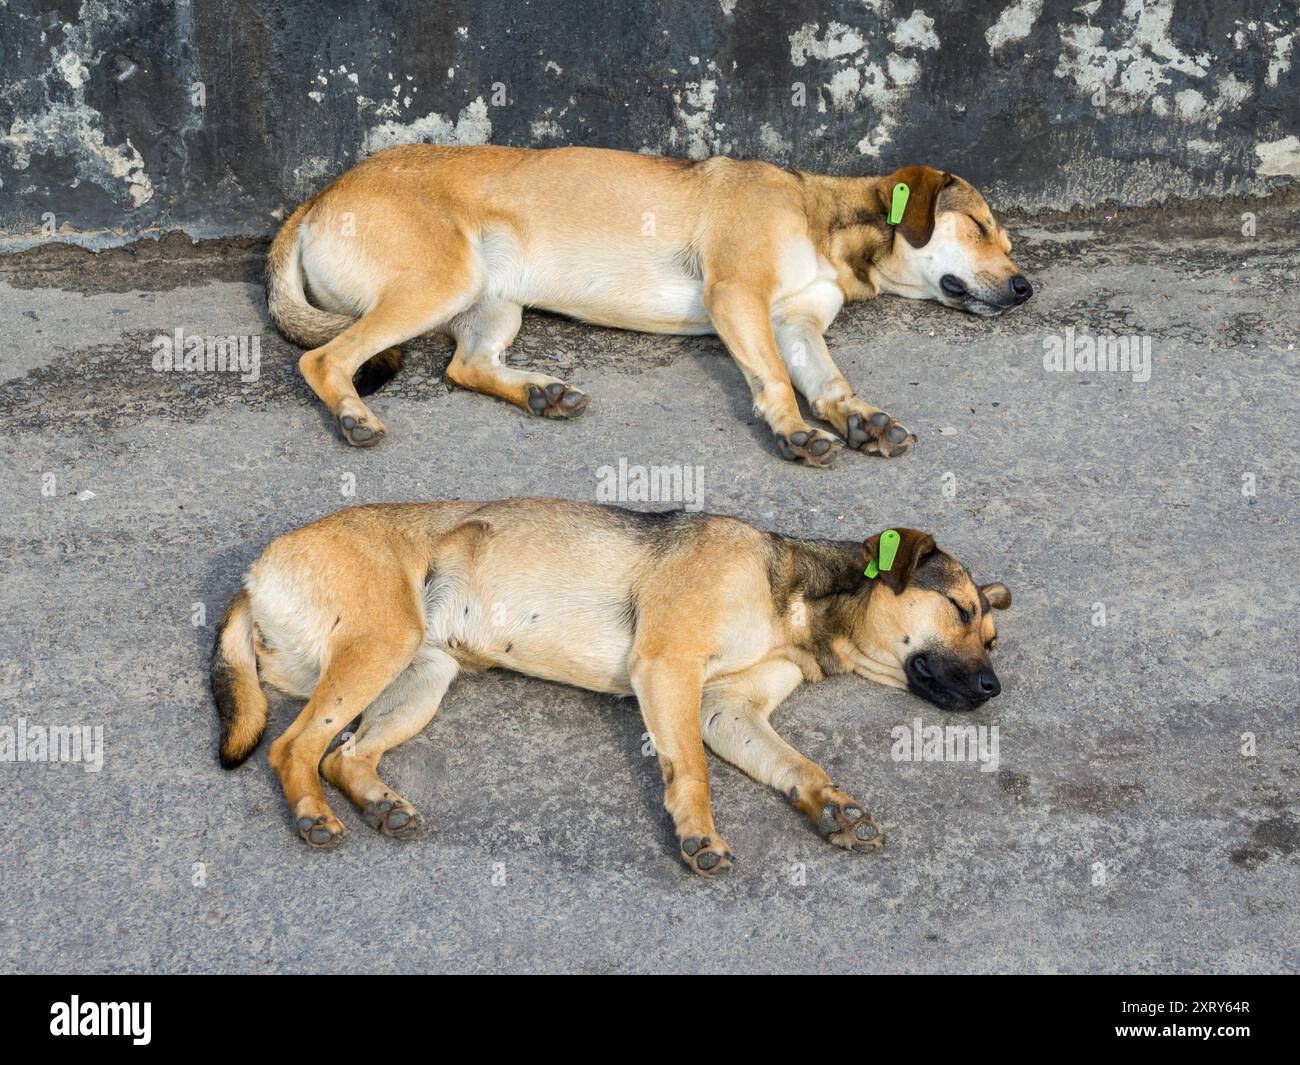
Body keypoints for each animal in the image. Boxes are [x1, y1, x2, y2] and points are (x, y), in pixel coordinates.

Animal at [213, 499, 1008, 873]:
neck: (797, 598)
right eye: (960, 608)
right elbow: (691, 772)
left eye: (991, 635)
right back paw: (313, 816)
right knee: (292, 747)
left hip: (424, 674)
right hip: (380, 645)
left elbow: (799, 765)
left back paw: (380, 804)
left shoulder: (728, 710)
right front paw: (698, 835)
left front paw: (832, 805)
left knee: (346, 753)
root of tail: (254, 573)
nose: (994, 686)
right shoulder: (667, 666)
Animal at [266, 144, 1034, 462]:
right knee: (325, 360)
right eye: (980, 225)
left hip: (493, 300)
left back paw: (540, 391)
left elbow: (828, 379)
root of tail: (320, 195)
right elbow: (776, 381)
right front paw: (793, 428)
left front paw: (857, 417)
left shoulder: (794, 321)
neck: (824, 217)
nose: (1027, 288)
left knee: (464, 366)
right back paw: (352, 415)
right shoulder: (738, 295)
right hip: (441, 280)